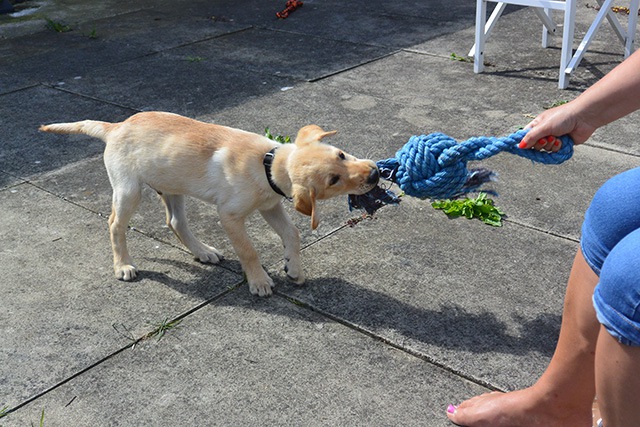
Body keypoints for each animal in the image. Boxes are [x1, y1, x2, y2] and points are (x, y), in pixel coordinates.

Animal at [40, 112, 378, 296]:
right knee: (115, 224)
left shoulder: (270, 205)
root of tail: (116, 126)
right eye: (333, 180)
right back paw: (123, 265)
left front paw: (293, 267)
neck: (269, 164)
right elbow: (249, 250)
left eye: (341, 154)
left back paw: (203, 252)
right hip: (128, 190)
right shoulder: (229, 215)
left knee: (175, 222)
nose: (375, 174)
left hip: (172, 184)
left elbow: (292, 234)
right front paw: (259, 281)